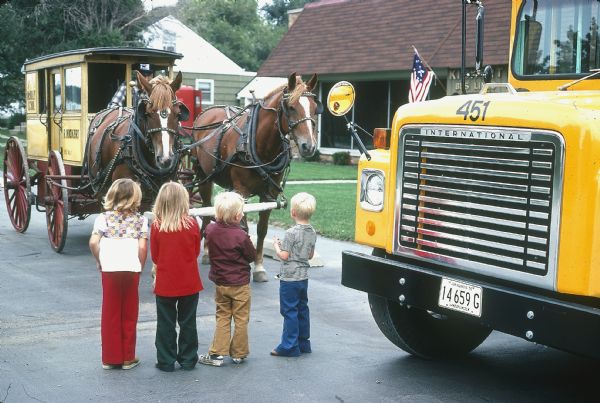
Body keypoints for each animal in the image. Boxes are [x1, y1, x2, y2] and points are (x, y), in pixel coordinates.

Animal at [191, 72, 324, 280]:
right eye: (291, 107)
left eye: (313, 106)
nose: (308, 146)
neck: (260, 144)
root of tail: (207, 112)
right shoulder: (242, 191)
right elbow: (243, 228)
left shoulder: (269, 195)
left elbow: (262, 230)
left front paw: (259, 266)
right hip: (203, 176)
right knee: (205, 209)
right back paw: (205, 252)